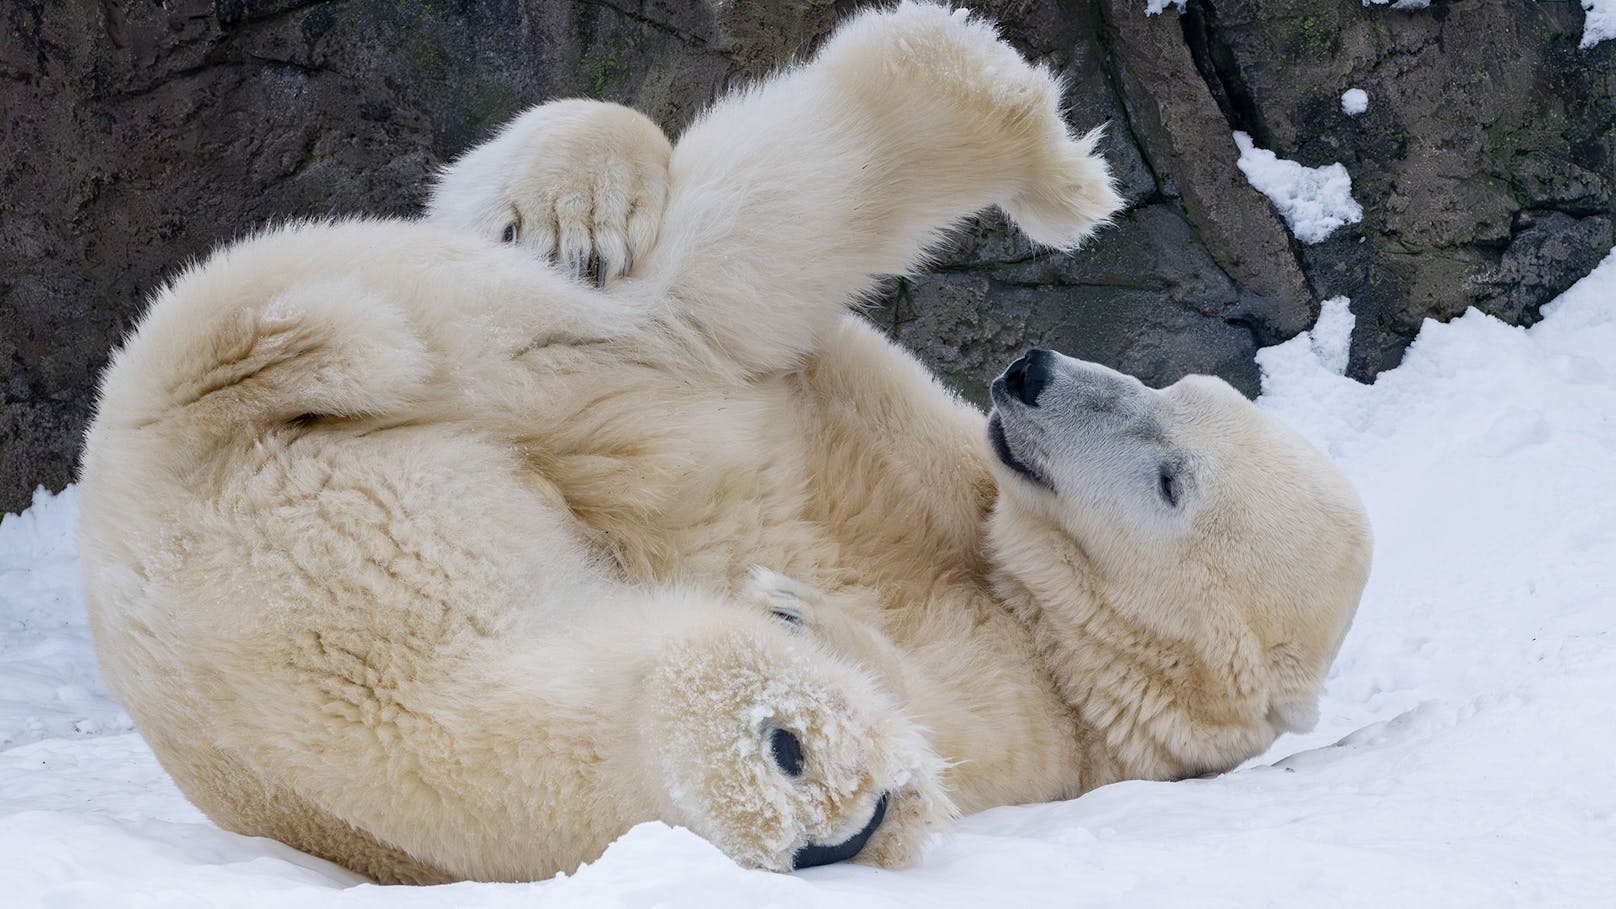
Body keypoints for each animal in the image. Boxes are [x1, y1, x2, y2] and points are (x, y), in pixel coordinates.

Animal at [72, 1, 1363, 886]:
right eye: (1168, 380)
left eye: (1169, 482)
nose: (1030, 372)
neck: (1033, 599)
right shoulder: (917, 439)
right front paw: (569, 202)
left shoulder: (1045, 725)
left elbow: (949, 728)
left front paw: (806, 620)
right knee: (666, 299)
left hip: (362, 547)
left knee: (505, 679)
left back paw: (797, 750)